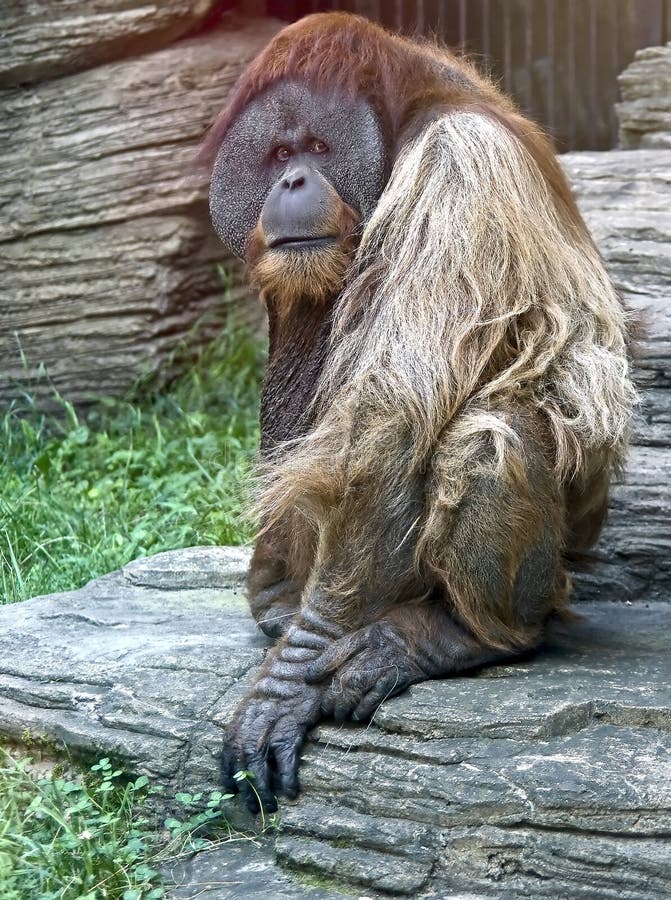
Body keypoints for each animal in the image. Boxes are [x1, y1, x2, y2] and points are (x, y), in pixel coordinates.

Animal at [204, 13, 636, 813]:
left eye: (318, 149)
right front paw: (274, 593)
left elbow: (392, 417)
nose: (292, 178)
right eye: (278, 153)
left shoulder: (457, 164)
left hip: (549, 575)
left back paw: (463, 636)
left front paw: (289, 679)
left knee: (487, 437)